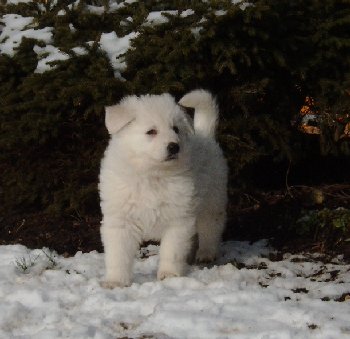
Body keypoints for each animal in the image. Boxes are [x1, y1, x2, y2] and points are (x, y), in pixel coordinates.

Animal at [100, 89, 228, 286]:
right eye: (151, 131)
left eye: (176, 129)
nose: (174, 147)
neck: (153, 174)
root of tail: (205, 134)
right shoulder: (120, 220)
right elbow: (118, 255)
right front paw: (116, 281)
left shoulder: (178, 218)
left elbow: (171, 251)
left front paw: (169, 275)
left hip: (212, 200)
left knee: (210, 228)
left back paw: (206, 253)